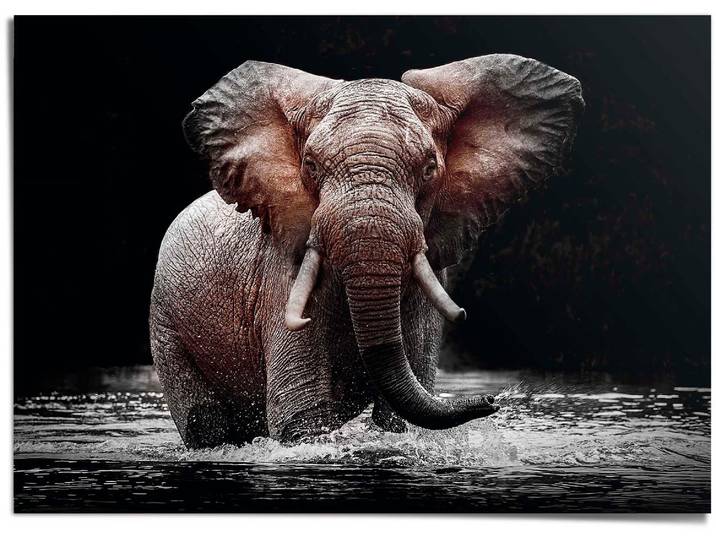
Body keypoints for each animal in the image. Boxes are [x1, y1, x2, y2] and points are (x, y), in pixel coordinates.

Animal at [150, 55, 584, 448]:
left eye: (429, 168)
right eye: (310, 165)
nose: (493, 400)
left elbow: (399, 416)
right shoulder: (282, 272)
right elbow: (301, 415)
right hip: (165, 324)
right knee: (203, 424)